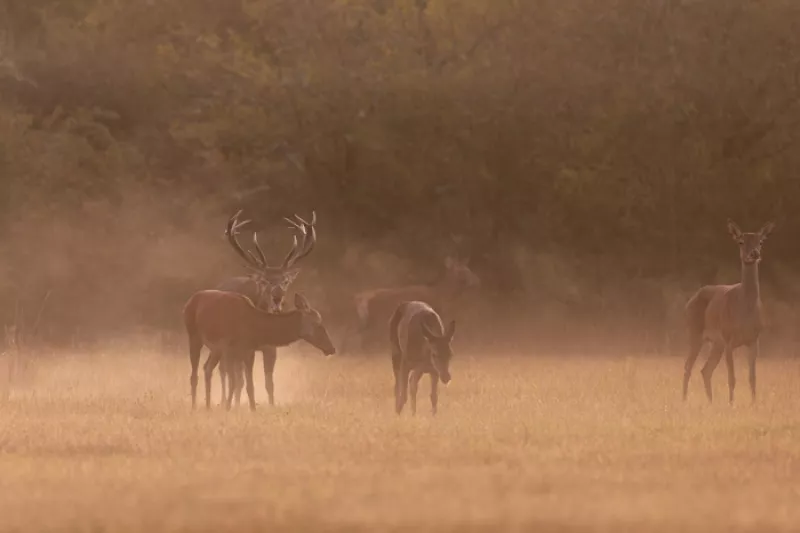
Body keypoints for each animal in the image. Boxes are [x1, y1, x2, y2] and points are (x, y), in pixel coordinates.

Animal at [184, 288, 334, 410]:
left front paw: (251, 409)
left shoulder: (248, 351)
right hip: (194, 336)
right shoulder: (229, 349)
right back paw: (194, 407)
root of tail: (188, 302)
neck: (254, 328)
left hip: (215, 350)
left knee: (207, 368)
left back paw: (208, 406)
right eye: (318, 324)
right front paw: (228, 407)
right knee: (194, 375)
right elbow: (234, 381)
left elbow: (248, 385)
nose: (331, 348)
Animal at [208, 209, 318, 408]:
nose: (277, 297)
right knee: (226, 372)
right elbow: (241, 380)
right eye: (265, 281)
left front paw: (272, 405)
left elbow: (269, 383)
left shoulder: (271, 348)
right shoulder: (244, 346)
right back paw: (225, 401)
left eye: (285, 281)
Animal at [340, 256, 478, 356]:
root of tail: (359, 297)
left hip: (364, 321)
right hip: (374, 320)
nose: (475, 281)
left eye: (469, 269)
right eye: (461, 271)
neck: (441, 295)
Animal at [680, 216, 776, 404]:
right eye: (740, 241)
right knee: (688, 367)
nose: (754, 254)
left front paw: (754, 404)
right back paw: (684, 400)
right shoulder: (729, 339)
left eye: (760, 242)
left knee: (705, 370)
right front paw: (732, 404)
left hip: (716, 343)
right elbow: (732, 378)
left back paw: (710, 402)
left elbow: (752, 378)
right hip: (695, 333)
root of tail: (690, 301)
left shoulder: (754, 340)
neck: (745, 311)